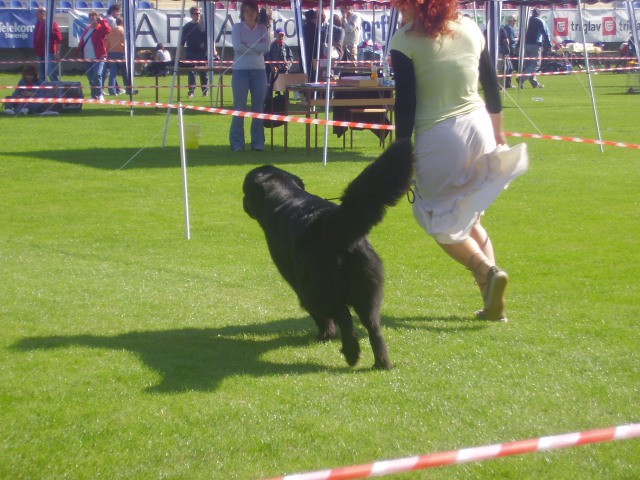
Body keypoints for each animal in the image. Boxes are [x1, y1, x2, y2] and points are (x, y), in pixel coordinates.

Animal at [241, 141, 416, 370]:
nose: (243, 202)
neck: (285, 198)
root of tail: (333, 223)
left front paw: (326, 334)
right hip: (368, 284)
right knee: (373, 325)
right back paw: (382, 362)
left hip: (316, 287)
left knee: (342, 314)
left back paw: (351, 353)